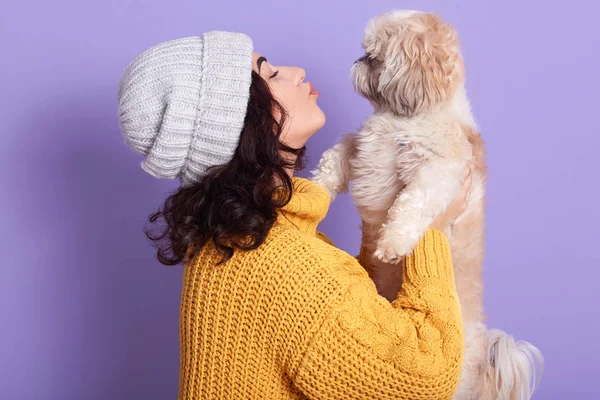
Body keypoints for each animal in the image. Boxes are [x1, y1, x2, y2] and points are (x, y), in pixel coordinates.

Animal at [314, 10, 544, 400]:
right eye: (367, 52)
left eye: (376, 57)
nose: (359, 60)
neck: (402, 119)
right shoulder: (361, 148)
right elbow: (336, 157)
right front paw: (315, 186)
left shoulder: (439, 171)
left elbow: (411, 203)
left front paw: (392, 243)